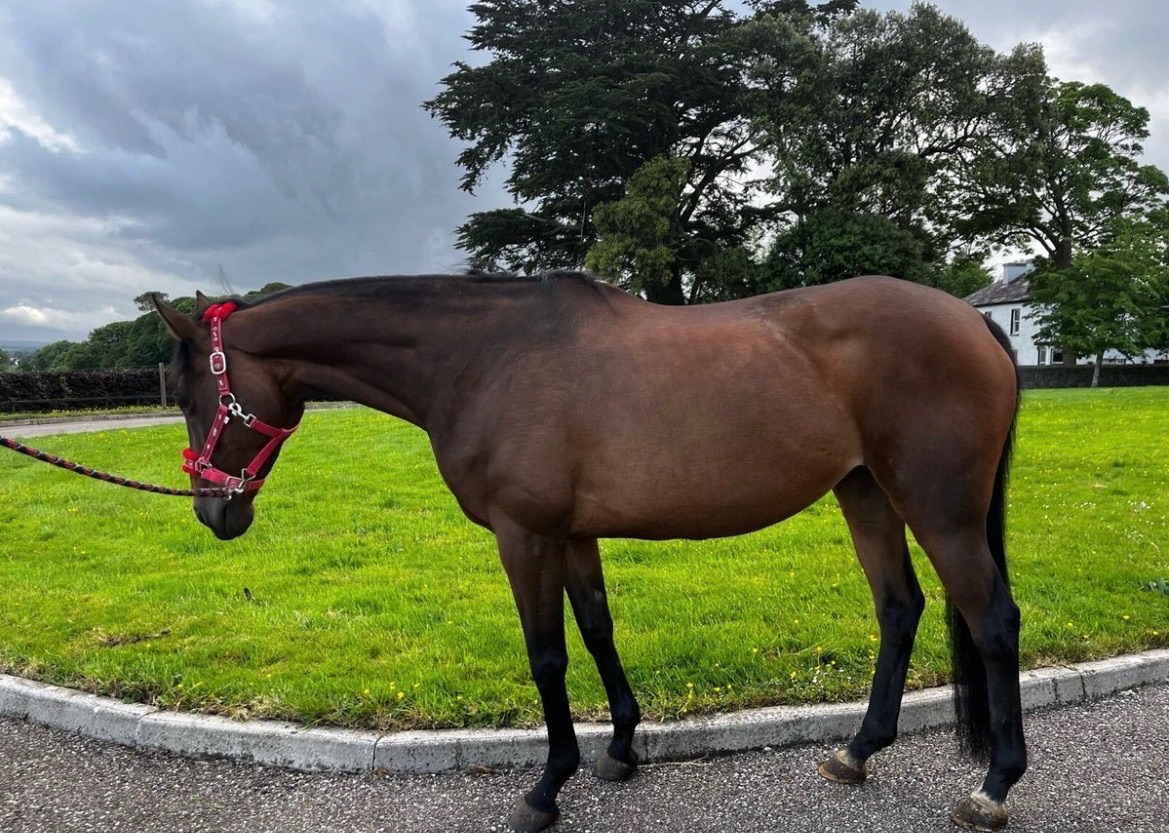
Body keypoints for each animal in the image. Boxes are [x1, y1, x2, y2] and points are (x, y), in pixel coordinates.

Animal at [154, 271, 1025, 832]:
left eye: (194, 394)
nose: (213, 510)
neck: (480, 356)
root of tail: (974, 319)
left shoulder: (524, 535)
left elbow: (547, 654)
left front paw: (546, 787)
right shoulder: (570, 534)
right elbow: (598, 629)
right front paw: (620, 747)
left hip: (939, 508)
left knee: (992, 621)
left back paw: (992, 787)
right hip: (865, 492)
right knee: (898, 608)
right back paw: (855, 751)